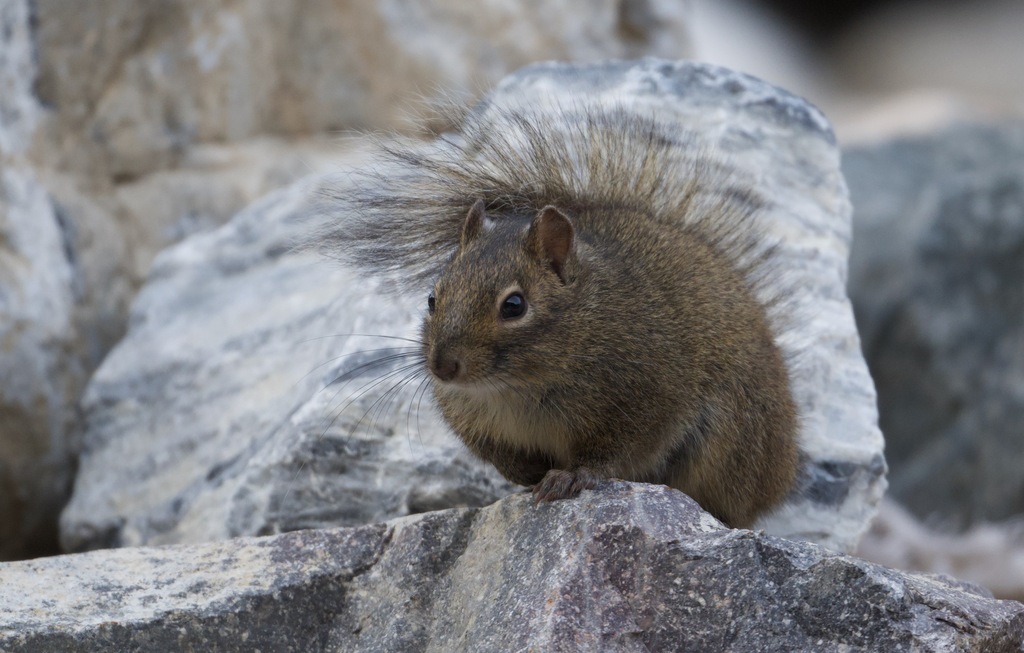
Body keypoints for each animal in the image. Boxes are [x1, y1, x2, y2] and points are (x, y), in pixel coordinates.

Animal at [325, 101, 800, 528]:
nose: (442, 368)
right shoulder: (475, 422)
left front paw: (569, 477)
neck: (517, 387)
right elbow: (501, 456)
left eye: (514, 305)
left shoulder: (647, 399)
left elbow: (614, 454)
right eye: (431, 299)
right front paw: (526, 474)